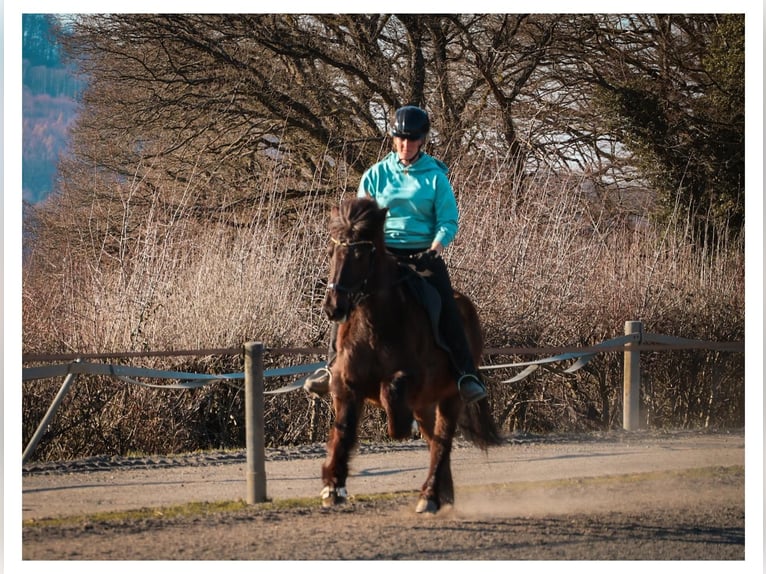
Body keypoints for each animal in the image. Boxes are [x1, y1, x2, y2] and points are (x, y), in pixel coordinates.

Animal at [319, 196, 502, 514]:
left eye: (360, 255)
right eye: (332, 252)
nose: (334, 307)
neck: (375, 323)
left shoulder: (411, 380)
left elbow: (393, 400)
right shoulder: (345, 384)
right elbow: (343, 432)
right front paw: (333, 485)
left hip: (451, 397)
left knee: (441, 441)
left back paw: (430, 496)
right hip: (427, 403)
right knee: (433, 440)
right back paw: (443, 493)